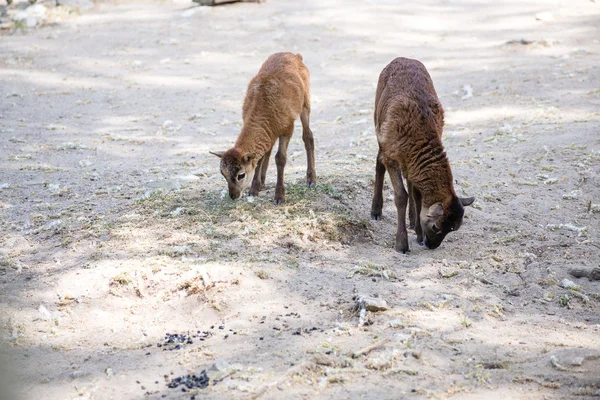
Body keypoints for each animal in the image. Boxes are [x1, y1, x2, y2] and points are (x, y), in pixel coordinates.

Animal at [210, 52, 316, 203]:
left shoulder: (287, 127)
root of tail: (295, 55)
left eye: (241, 175)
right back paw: (262, 182)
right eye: (222, 173)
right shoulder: (268, 131)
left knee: (308, 136)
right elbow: (259, 158)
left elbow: (280, 158)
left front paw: (279, 197)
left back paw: (311, 180)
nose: (233, 196)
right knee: (268, 149)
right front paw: (254, 190)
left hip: (305, 103)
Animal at [370, 58, 474, 253]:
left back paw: (411, 221)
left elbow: (416, 195)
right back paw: (376, 211)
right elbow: (401, 196)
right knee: (379, 163)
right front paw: (402, 244)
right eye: (436, 227)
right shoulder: (391, 156)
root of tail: (402, 58)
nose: (431, 245)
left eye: (453, 229)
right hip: (378, 126)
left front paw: (417, 232)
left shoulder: (412, 162)